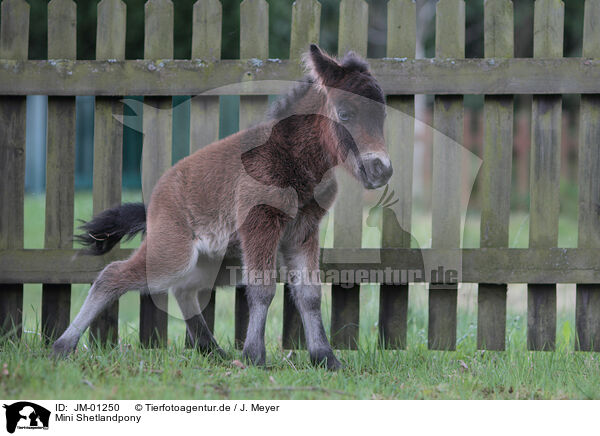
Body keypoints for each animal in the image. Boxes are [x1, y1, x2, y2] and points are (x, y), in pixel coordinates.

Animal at [52, 45, 394, 372]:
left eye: (383, 116)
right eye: (345, 114)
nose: (381, 170)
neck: (290, 156)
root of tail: (155, 201)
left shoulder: (303, 231)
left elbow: (308, 294)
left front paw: (326, 358)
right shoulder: (260, 222)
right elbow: (262, 289)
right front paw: (255, 356)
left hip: (213, 259)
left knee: (184, 289)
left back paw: (211, 350)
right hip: (173, 253)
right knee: (113, 276)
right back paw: (62, 346)